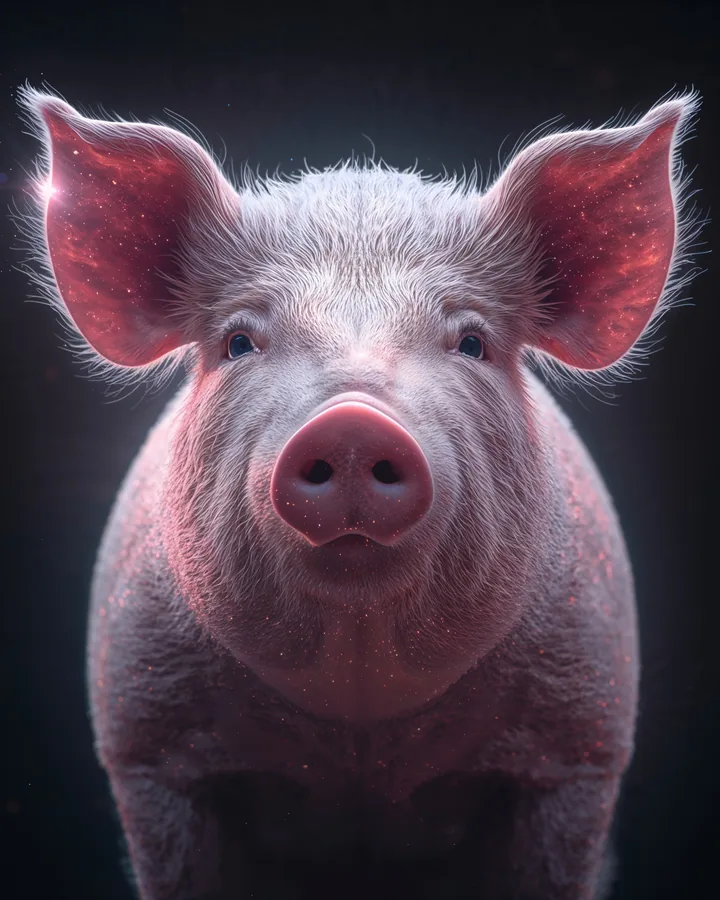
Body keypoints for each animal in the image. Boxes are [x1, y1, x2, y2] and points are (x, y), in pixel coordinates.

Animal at [17, 85, 701, 899]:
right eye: (238, 342)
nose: (351, 421)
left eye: (472, 342)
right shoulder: (146, 747)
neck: (360, 729)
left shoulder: (581, 746)